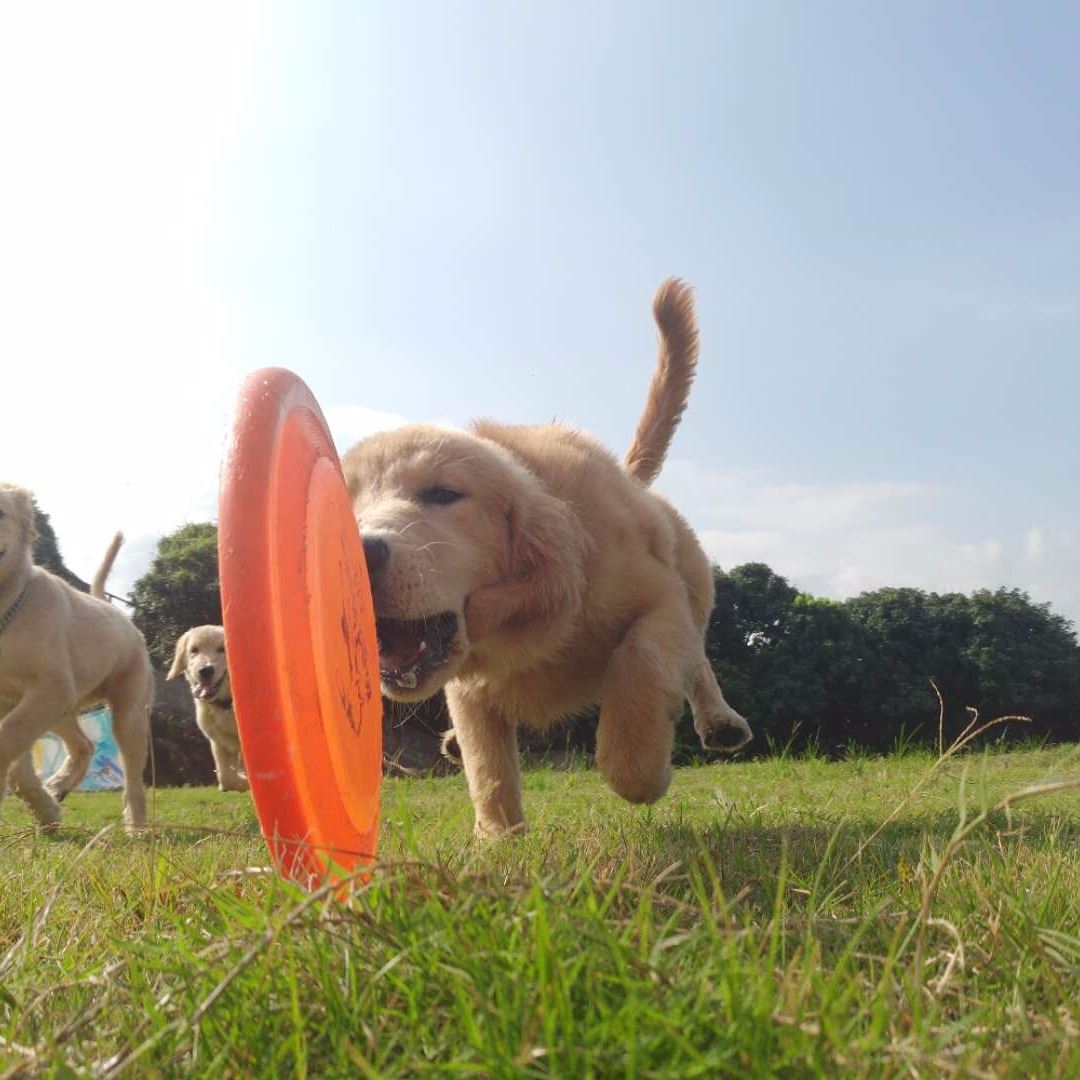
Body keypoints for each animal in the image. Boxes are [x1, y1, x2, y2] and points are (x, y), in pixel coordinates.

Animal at [0, 486, 152, 829]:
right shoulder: (26, 701)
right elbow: (18, 764)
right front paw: (45, 808)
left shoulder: (49, 689)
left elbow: (8, 741)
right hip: (61, 709)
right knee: (84, 745)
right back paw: (57, 788)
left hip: (127, 709)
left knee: (133, 776)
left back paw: (136, 826)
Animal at [166, 626, 248, 794]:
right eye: (194, 650)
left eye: (222, 649)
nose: (205, 670)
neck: (225, 704)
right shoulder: (219, 742)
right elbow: (225, 776)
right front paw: (242, 783)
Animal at [343, 276, 751, 833]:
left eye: (445, 493)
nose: (358, 554)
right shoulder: (469, 683)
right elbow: (486, 762)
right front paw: (499, 836)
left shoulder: (658, 602)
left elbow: (640, 671)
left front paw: (647, 774)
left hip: (693, 582)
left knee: (698, 657)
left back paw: (719, 719)